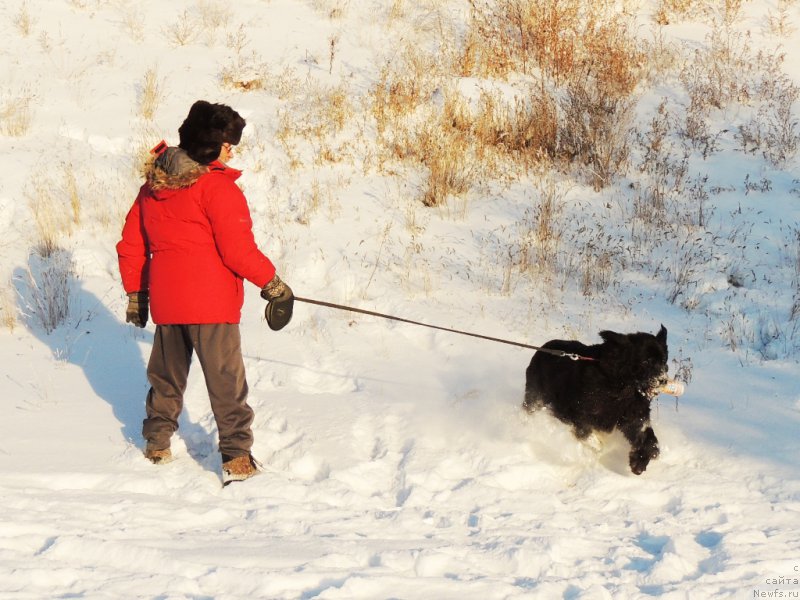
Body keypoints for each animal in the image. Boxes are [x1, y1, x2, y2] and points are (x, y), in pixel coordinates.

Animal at [524, 326, 668, 476]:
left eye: (664, 361)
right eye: (646, 361)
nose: (663, 380)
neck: (622, 386)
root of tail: (543, 348)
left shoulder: (633, 415)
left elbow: (647, 437)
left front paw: (640, 461)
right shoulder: (576, 413)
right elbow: (591, 438)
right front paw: (595, 451)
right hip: (535, 397)